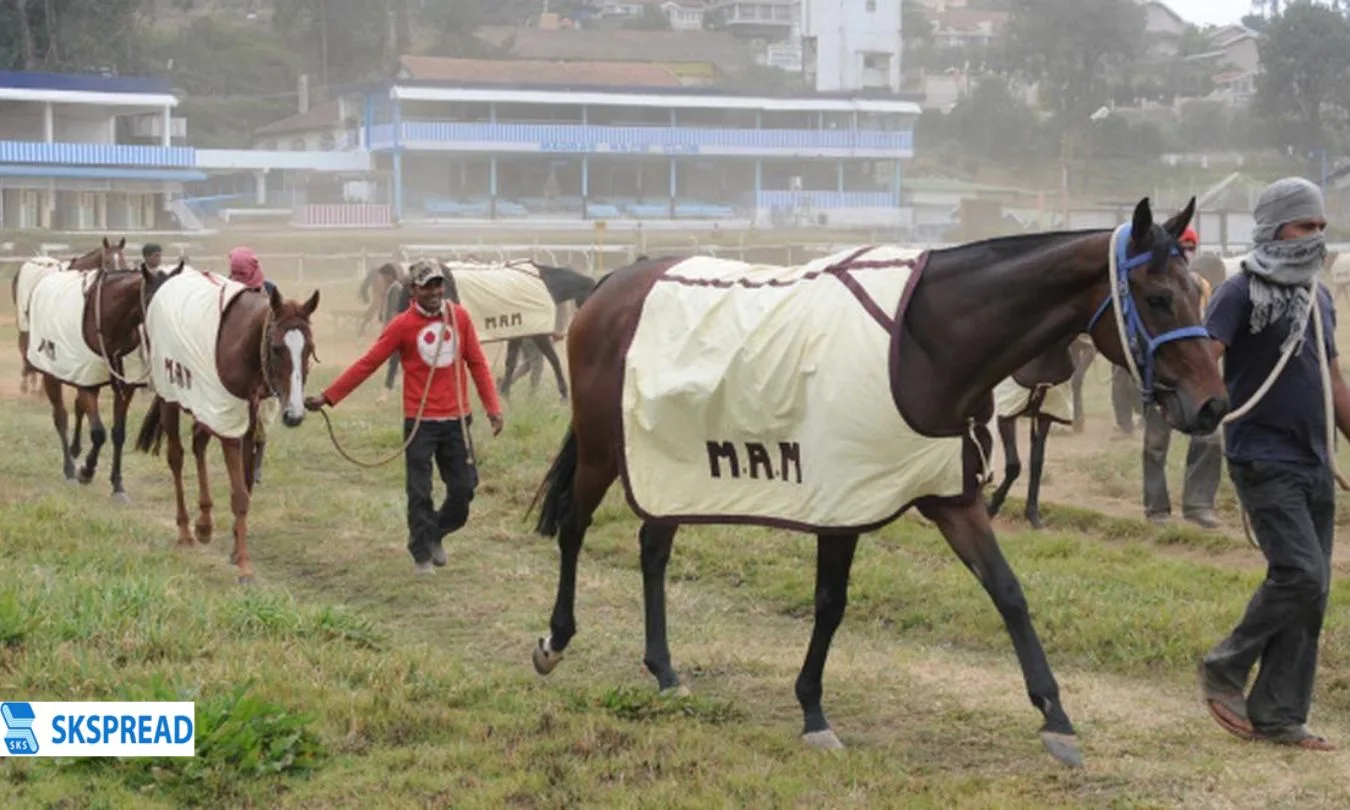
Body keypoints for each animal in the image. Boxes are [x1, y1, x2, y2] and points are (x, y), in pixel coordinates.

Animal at [135, 272, 321, 583]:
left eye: (309, 349)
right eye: (276, 348)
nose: (294, 415)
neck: (241, 346)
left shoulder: (244, 422)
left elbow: (245, 484)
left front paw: (235, 549)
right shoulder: (228, 423)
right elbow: (239, 495)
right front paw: (244, 564)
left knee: (198, 443)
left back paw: (204, 524)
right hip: (170, 397)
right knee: (176, 456)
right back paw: (185, 531)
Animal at [521, 195, 1231, 766]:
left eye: (1199, 292)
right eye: (1158, 297)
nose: (1213, 405)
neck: (926, 344)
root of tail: (613, 285)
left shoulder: (951, 495)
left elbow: (1008, 592)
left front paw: (1055, 717)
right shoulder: (843, 497)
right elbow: (831, 603)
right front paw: (812, 711)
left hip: (671, 464)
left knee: (653, 548)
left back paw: (665, 670)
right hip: (604, 450)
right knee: (576, 527)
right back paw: (556, 638)